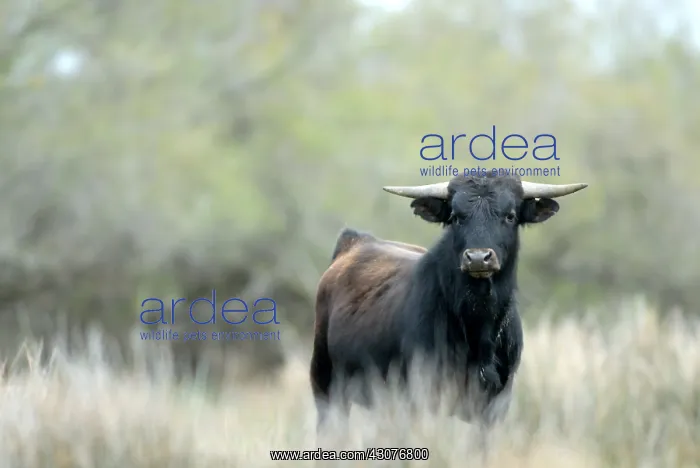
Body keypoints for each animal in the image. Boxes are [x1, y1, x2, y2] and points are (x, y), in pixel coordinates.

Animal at [310, 173, 587, 434]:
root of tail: (355, 242)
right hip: (326, 386)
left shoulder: (493, 409)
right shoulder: (422, 399)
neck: (478, 329)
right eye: (455, 216)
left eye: (510, 216)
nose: (478, 258)